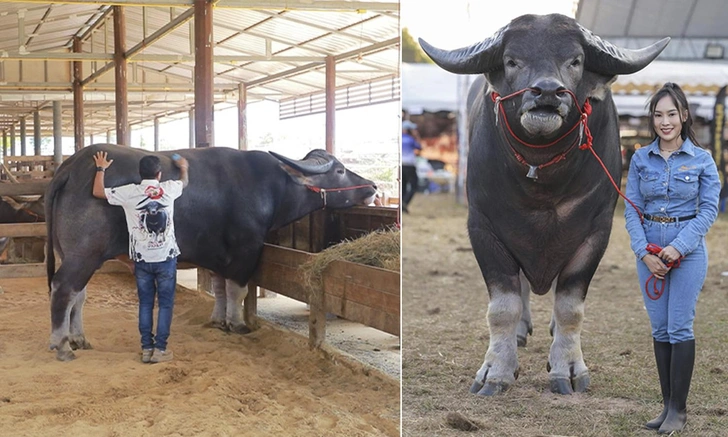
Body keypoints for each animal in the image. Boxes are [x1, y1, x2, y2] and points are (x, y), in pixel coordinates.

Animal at [47, 145, 376, 360]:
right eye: (340, 170)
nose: (372, 187)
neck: (273, 185)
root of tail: (71, 167)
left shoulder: (218, 256)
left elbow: (219, 288)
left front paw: (218, 320)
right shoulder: (247, 250)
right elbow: (238, 290)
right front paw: (237, 324)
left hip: (73, 254)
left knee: (78, 295)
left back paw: (78, 338)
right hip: (84, 255)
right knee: (64, 289)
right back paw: (62, 344)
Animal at [420, 14, 672, 396]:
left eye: (575, 60)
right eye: (512, 60)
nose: (548, 92)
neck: (543, 179)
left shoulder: (596, 233)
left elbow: (570, 307)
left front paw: (567, 368)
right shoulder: (483, 228)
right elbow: (503, 306)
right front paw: (496, 371)